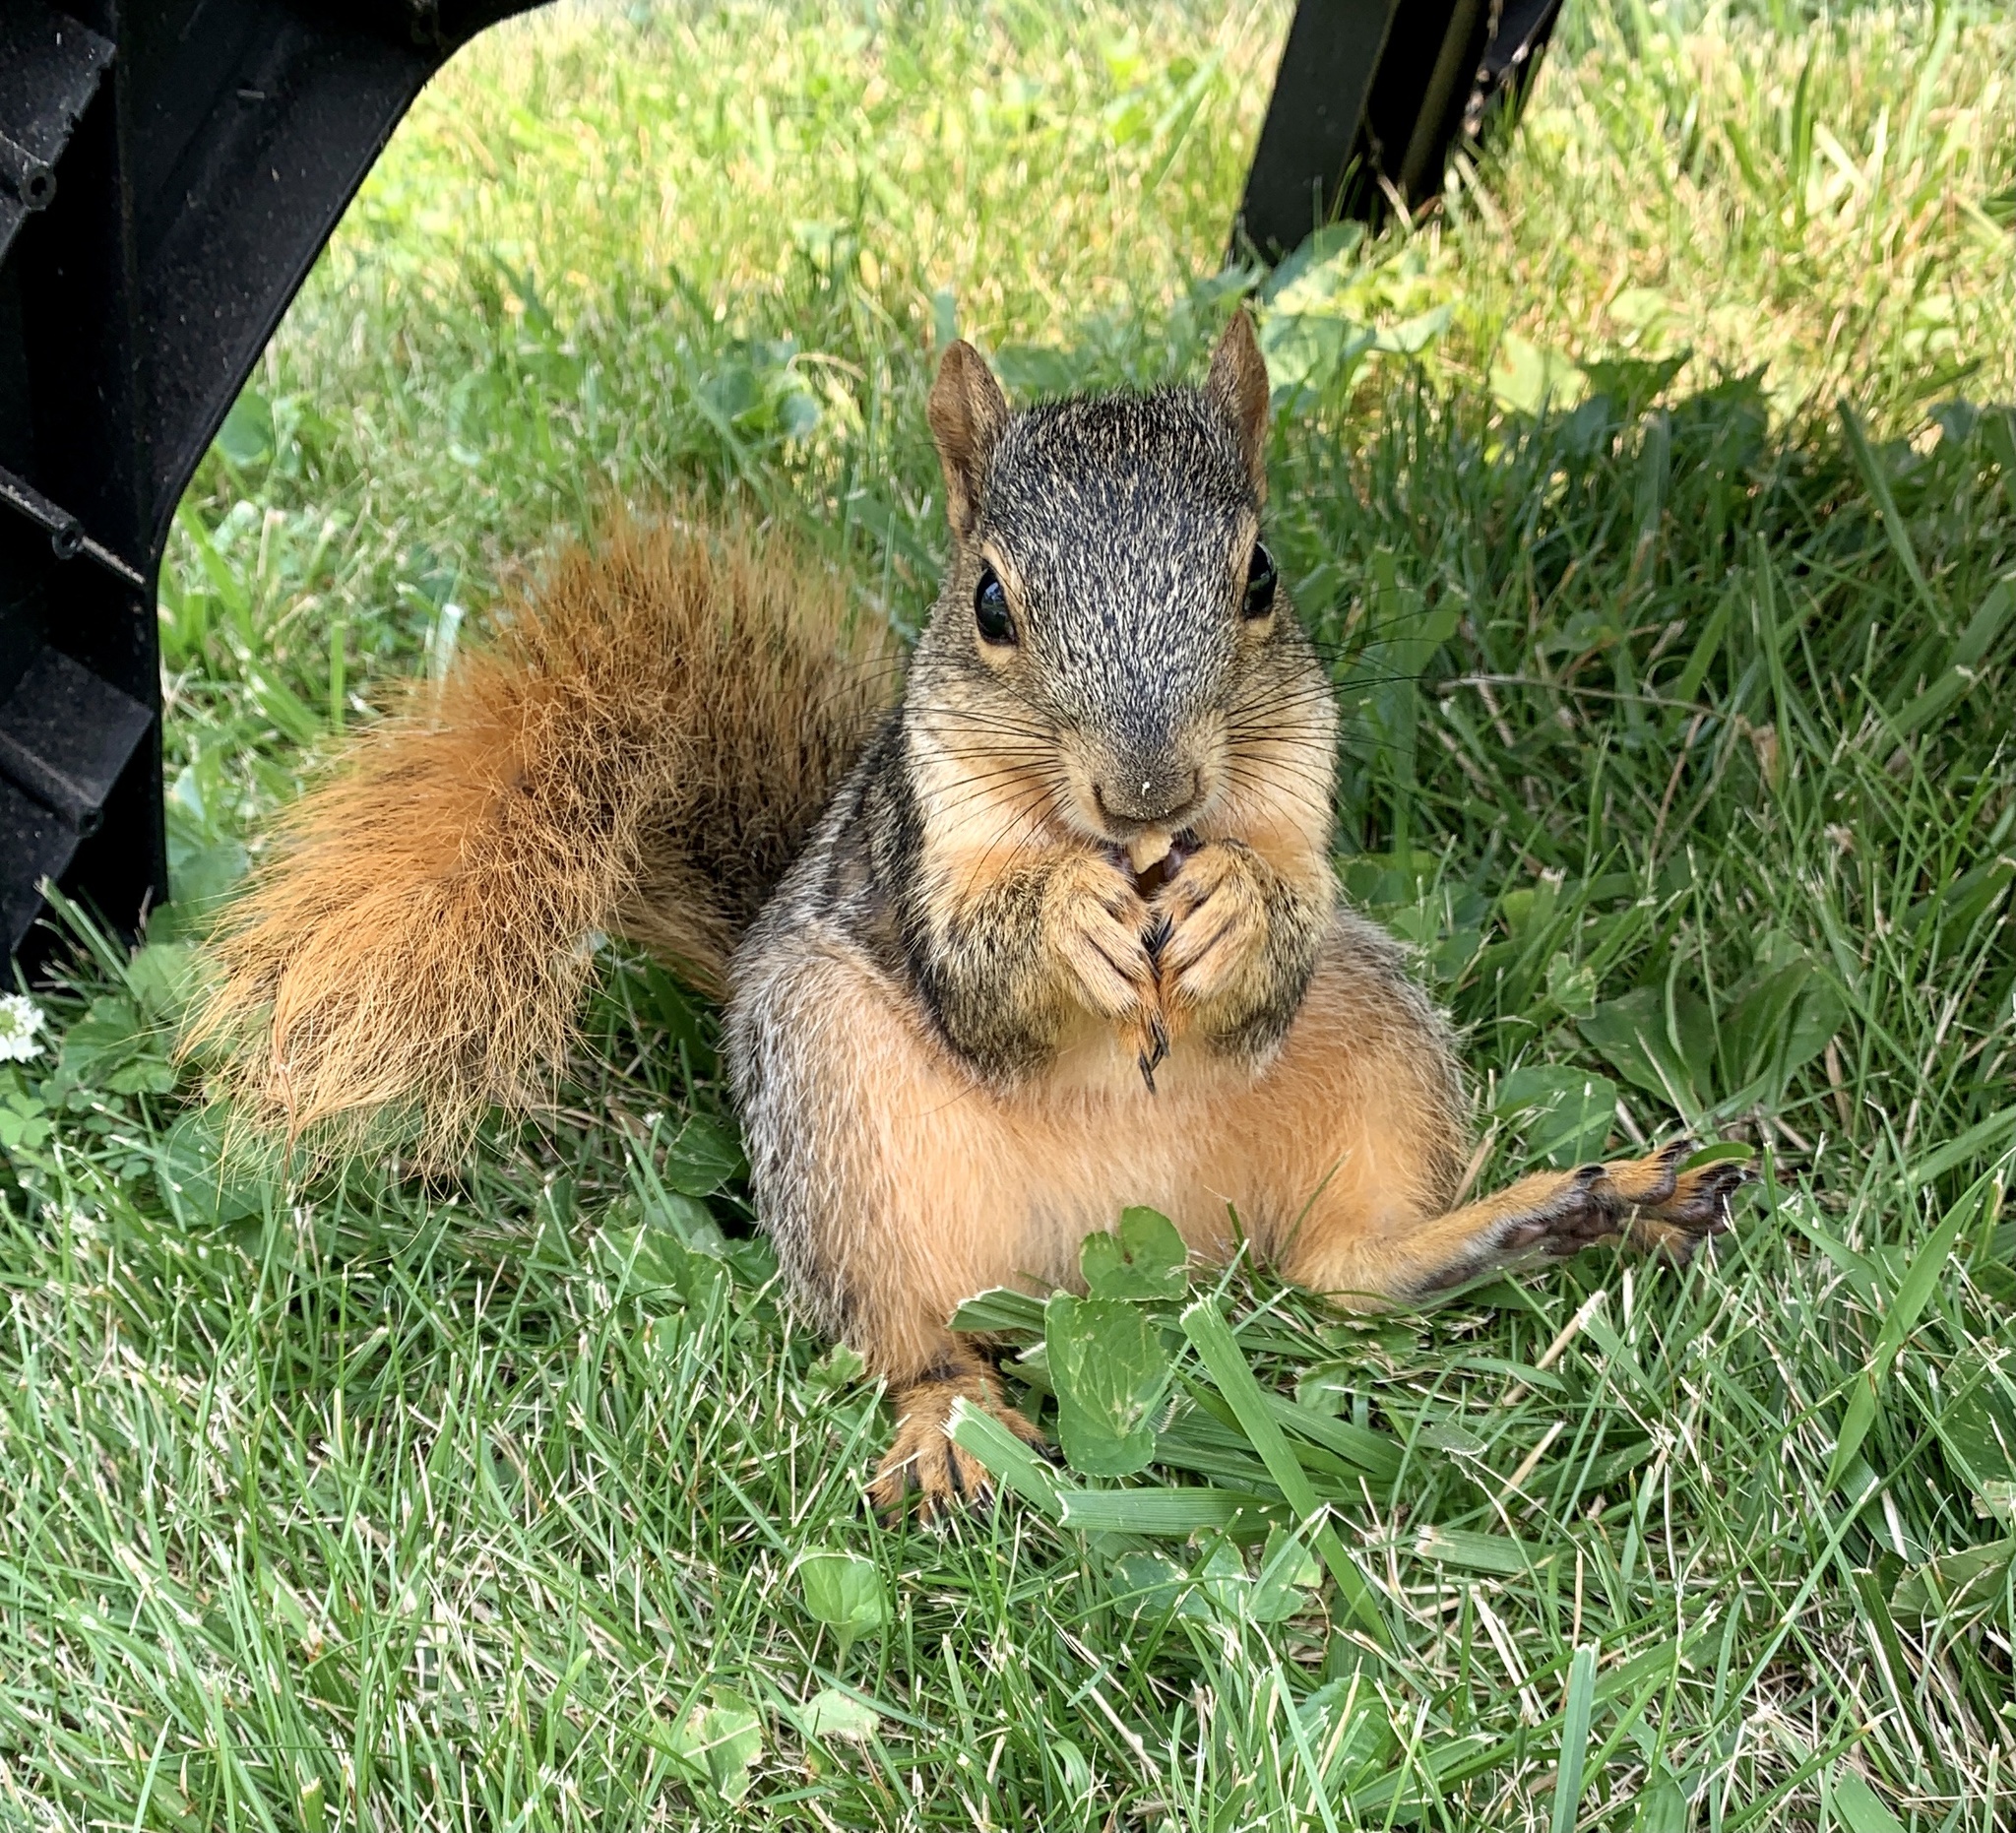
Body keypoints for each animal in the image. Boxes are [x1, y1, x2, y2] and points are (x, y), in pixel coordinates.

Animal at [189, 314, 1749, 1508]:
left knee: (1339, 1273)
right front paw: (1065, 920)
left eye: (1260, 577)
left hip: (1370, 1034)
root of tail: (1133, 1247)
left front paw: (1236, 901)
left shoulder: (1300, 802)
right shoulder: (914, 847)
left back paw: (1556, 1214)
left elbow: (1286, 920)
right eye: (991, 603)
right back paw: (951, 1429)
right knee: (920, 1336)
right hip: (842, 1105)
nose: (1149, 789)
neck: (1123, 849)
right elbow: (976, 972)